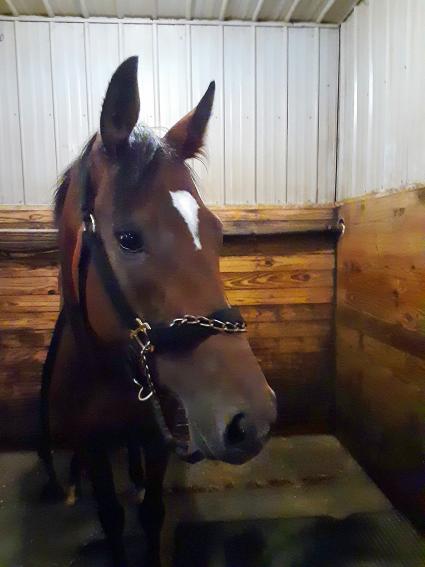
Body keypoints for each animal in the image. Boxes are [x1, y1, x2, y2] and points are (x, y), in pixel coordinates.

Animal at [38, 54, 276, 567]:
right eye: (128, 238)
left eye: (217, 232)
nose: (253, 419)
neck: (107, 370)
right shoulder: (94, 445)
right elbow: (111, 518)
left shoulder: (157, 440)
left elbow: (152, 513)